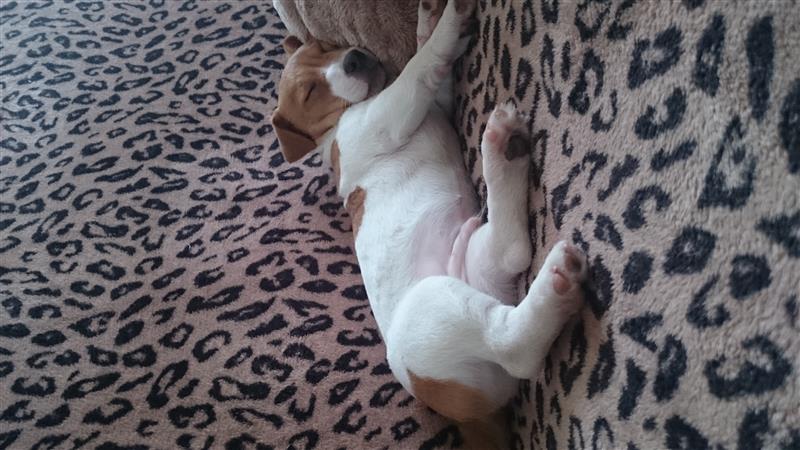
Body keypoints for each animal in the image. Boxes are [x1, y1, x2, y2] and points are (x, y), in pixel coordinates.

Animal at [272, 0, 587, 445]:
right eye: (310, 92)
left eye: (327, 48)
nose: (354, 58)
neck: (338, 124)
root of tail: (468, 417)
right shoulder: (387, 117)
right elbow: (416, 69)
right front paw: (447, 26)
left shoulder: (436, 100)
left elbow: (425, 66)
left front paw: (428, 23)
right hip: (434, 308)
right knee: (513, 347)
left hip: (476, 261)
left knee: (510, 253)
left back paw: (505, 155)